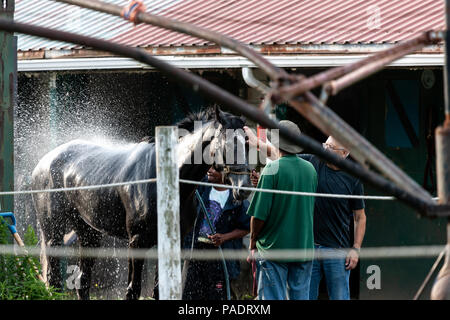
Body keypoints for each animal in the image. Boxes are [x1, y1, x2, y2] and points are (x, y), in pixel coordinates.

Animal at [30, 107, 253, 300]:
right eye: (229, 143)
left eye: (248, 144)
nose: (244, 188)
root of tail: (44, 162)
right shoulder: (137, 242)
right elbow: (133, 290)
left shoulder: (172, 243)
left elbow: (159, 291)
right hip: (54, 234)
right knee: (53, 280)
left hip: (88, 233)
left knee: (82, 281)